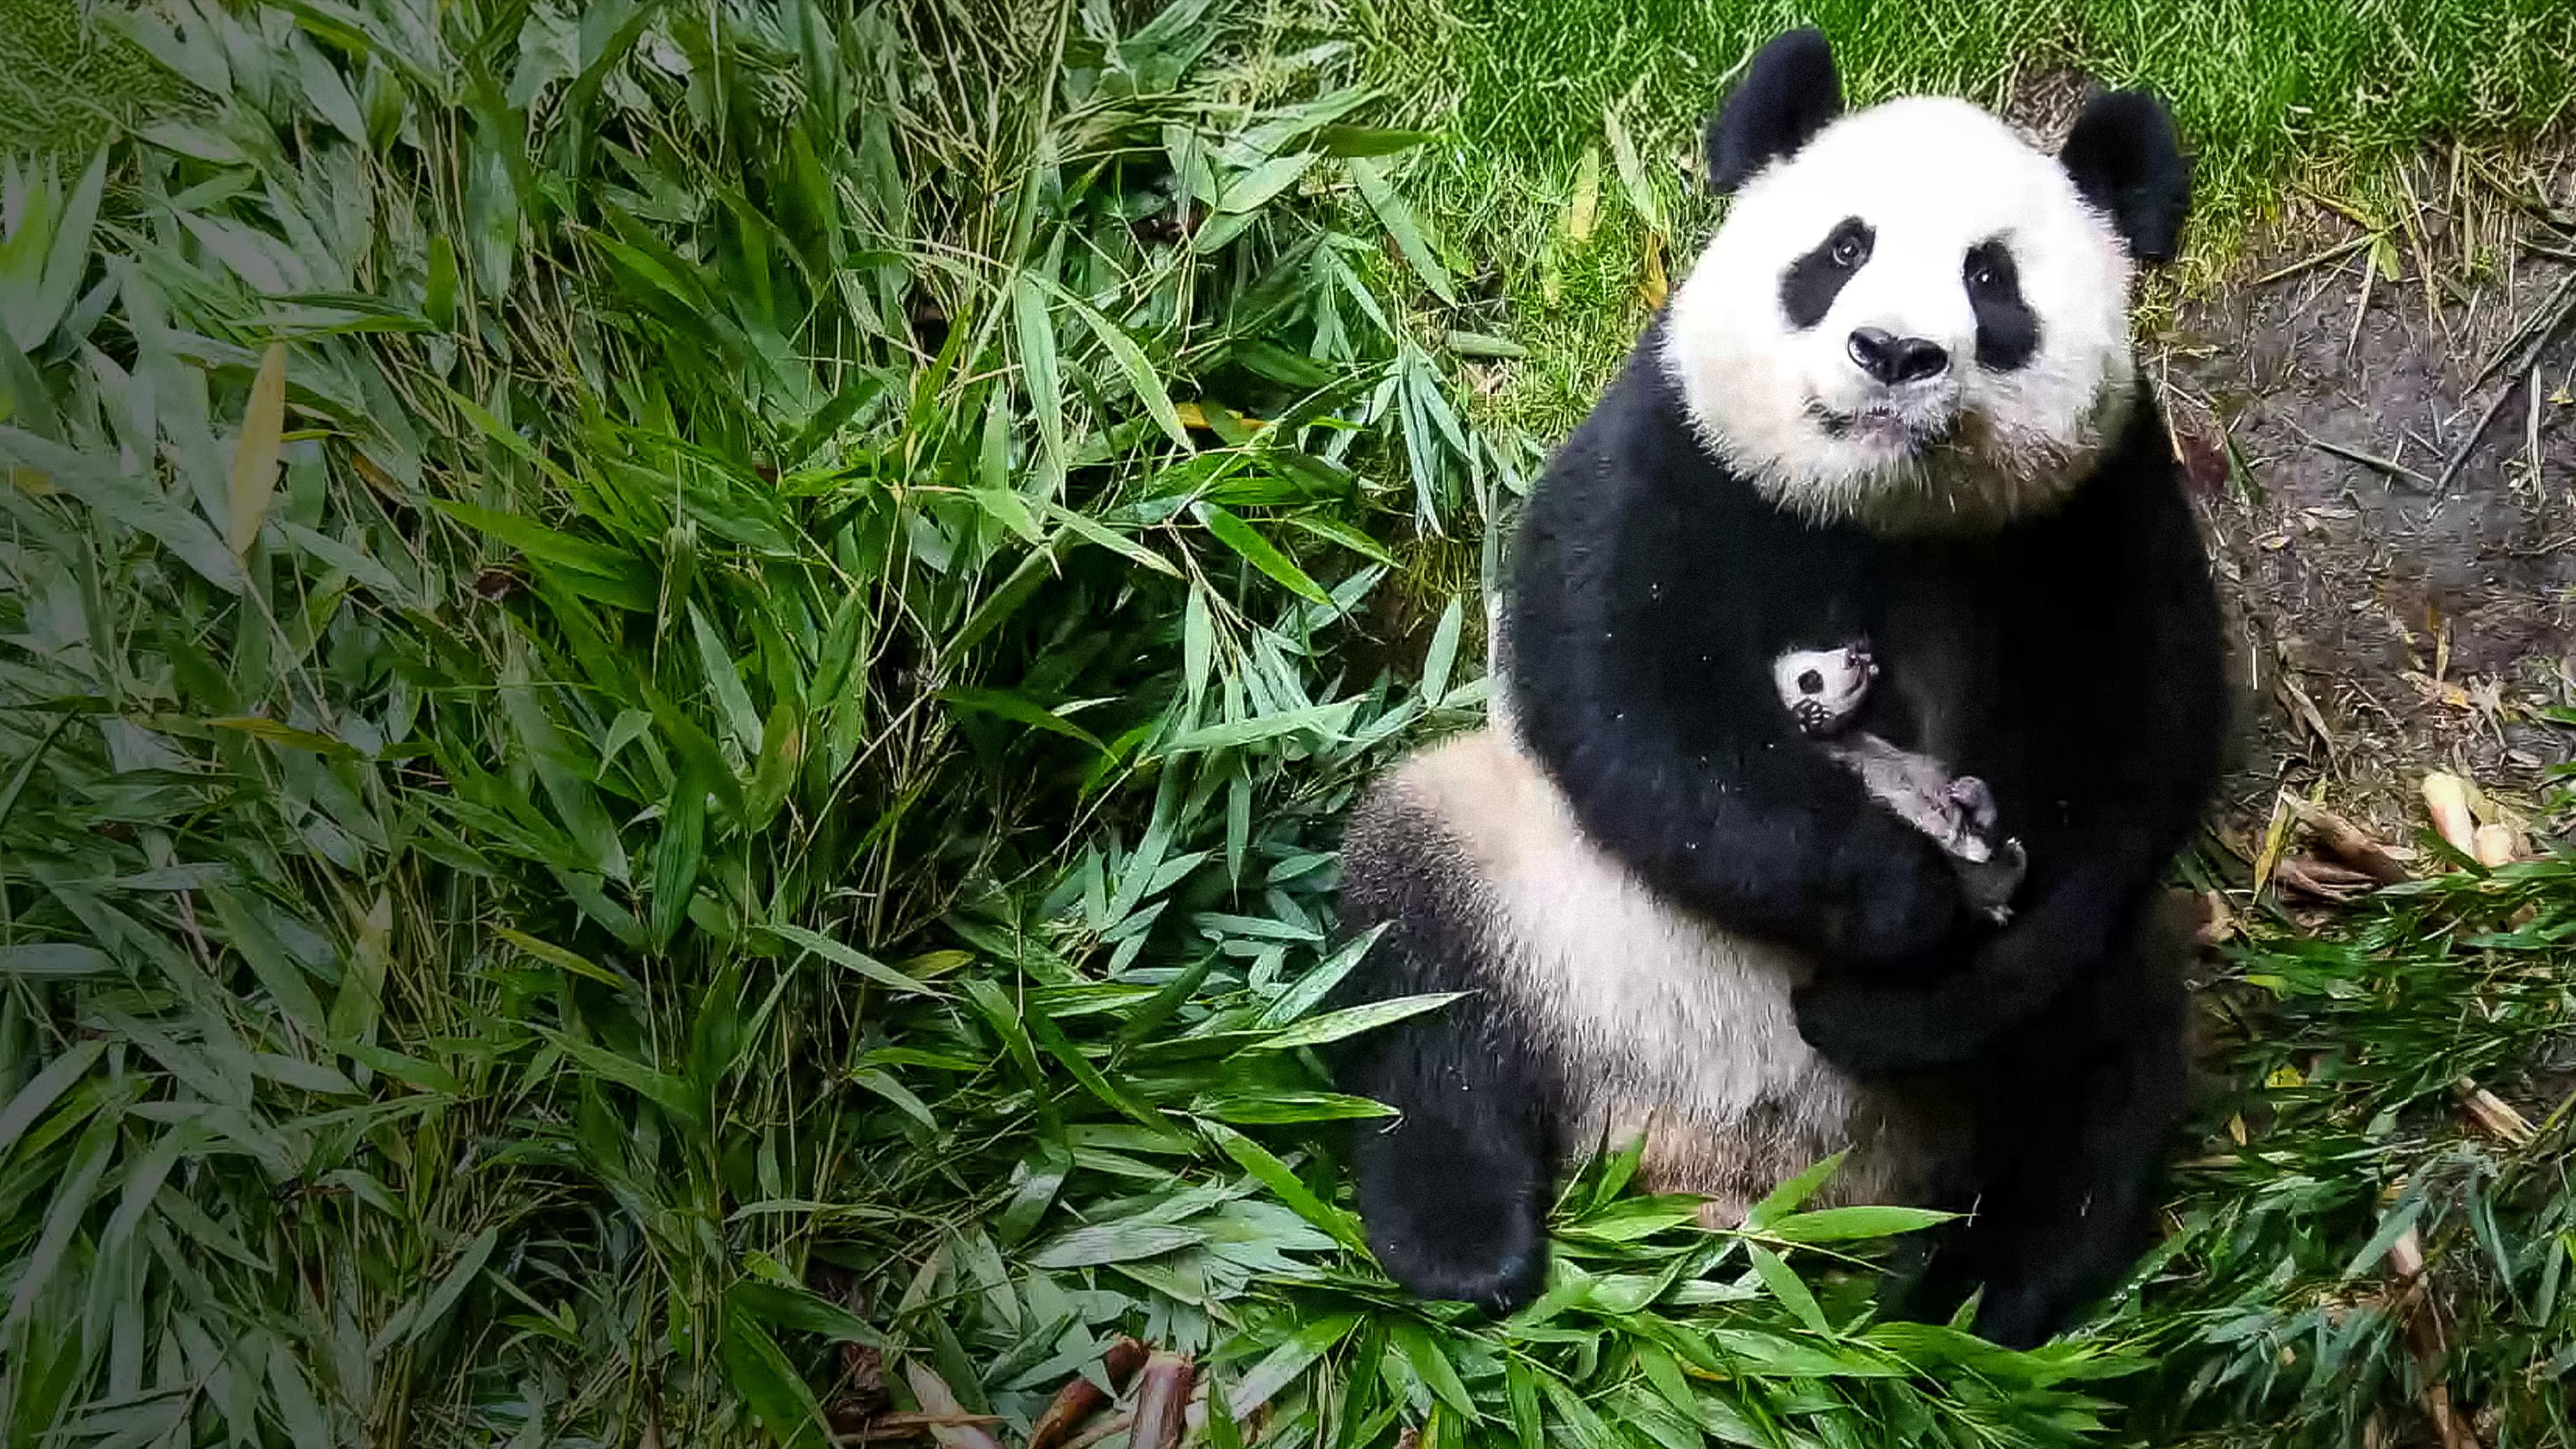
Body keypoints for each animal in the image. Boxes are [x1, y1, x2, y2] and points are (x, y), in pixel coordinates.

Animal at [1334, 28, 2225, 1349]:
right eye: (1841, 251)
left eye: (1993, 281)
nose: (1895, 355)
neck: (1887, 505)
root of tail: (1725, 1173)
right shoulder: (1678, 442)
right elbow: (1620, 695)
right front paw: (1902, 894)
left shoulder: (2102, 505)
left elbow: (2143, 739)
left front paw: (1894, 996)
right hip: (1534, 895)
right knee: (1418, 978)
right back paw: (1464, 1245)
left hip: (2073, 1016)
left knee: (2105, 1062)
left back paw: (1980, 1293)